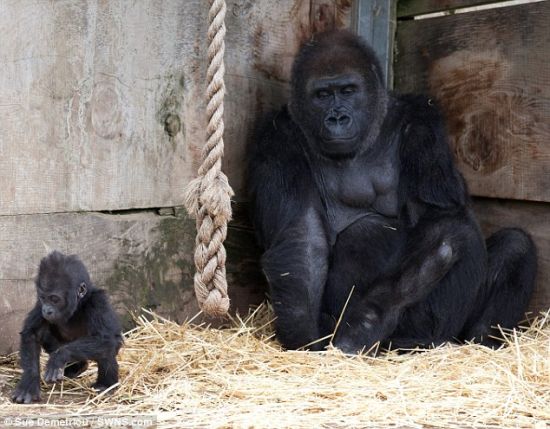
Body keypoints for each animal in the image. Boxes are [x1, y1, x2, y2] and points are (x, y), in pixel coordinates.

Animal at [12, 249, 123, 402]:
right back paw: (76, 367)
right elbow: (32, 334)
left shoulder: (98, 302)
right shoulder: (39, 304)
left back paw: (105, 385)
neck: (79, 304)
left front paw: (59, 357)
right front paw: (29, 383)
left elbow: (105, 339)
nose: (46, 310)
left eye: (54, 299)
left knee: (107, 348)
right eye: (43, 298)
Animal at [248, 29, 536, 352]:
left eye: (348, 91)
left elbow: (439, 215)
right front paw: (304, 332)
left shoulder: (422, 122)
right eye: (322, 95)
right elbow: (303, 234)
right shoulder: (277, 137)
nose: (337, 118)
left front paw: (367, 320)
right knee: (367, 231)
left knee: (511, 244)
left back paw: (479, 340)